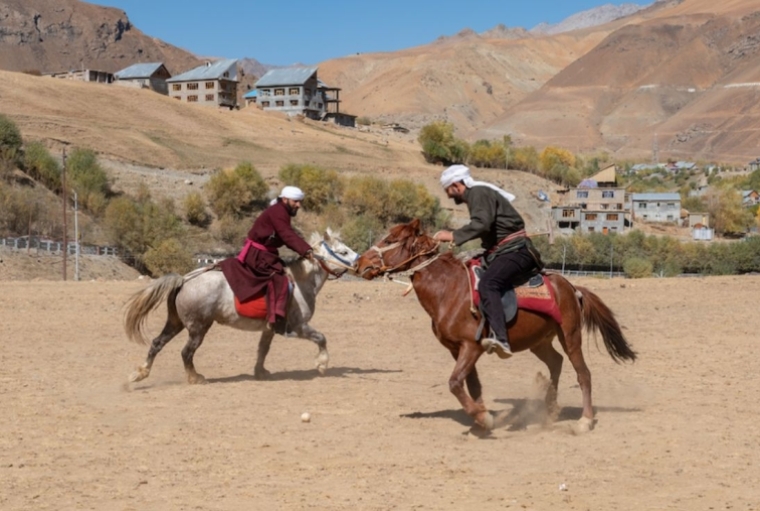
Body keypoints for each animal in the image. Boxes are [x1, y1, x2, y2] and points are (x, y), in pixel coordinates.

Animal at [125, 229, 360, 384]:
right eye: (343, 252)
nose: (359, 263)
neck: (300, 281)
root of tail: (184, 279)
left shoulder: (269, 329)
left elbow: (263, 349)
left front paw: (260, 372)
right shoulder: (299, 326)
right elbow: (321, 338)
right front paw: (322, 364)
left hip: (176, 322)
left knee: (157, 343)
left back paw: (141, 373)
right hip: (198, 327)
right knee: (186, 352)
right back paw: (195, 377)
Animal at [356, 219, 636, 432]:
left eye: (390, 239)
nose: (360, 263)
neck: (449, 289)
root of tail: (571, 286)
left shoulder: (471, 346)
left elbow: (455, 382)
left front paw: (483, 417)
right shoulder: (458, 349)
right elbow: (472, 384)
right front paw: (484, 416)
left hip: (570, 335)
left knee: (583, 374)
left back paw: (584, 420)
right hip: (539, 341)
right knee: (555, 362)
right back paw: (549, 410)